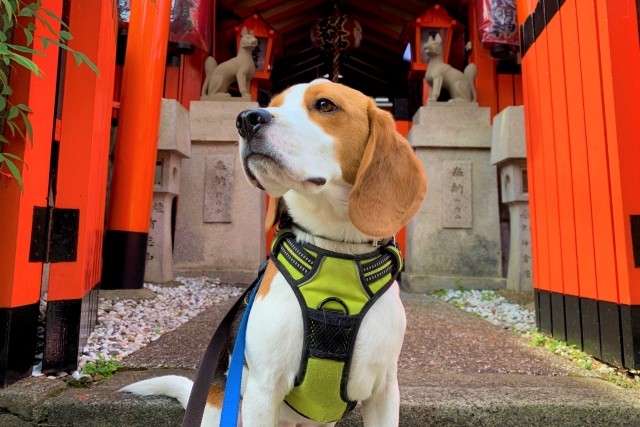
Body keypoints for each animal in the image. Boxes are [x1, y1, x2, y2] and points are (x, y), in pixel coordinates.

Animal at [122, 78, 428, 426]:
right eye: (273, 104)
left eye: (325, 105)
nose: (246, 119)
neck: (335, 248)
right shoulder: (263, 389)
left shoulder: (384, 391)